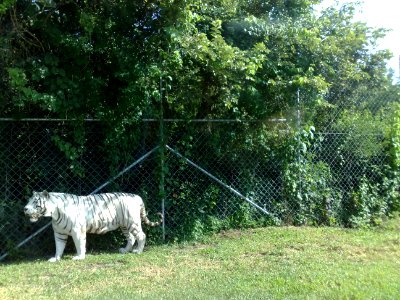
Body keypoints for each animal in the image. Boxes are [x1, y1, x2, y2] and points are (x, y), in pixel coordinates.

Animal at [23, 191, 162, 262]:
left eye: (35, 202)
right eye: (29, 200)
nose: (25, 209)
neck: (54, 214)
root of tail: (137, 197)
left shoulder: (77, 231)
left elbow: (80, 245)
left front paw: (79, 257)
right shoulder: (59, 233)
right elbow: (59, 247)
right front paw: (56, 258)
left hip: (132, 222)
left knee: (141, 235)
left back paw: (138, 251)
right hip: (124, 225)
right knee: (131, 238)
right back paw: (125, 250)